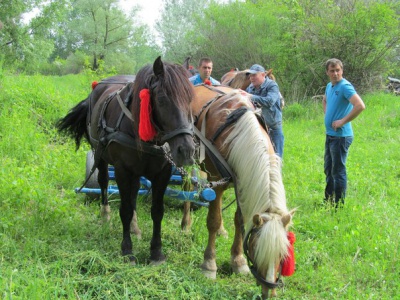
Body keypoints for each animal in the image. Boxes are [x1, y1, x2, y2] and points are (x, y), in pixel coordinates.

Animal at [57, 56, 196, 264]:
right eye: (162, 99)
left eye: (191, 99)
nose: (186, 150)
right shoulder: (122, 170)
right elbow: (125, 209)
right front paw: (127, 251)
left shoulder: (162, 173)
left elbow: (157, 211)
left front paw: (156, 252)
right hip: (99, 154)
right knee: (104, 182)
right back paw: (105, 216)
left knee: (134, 191)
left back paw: (134, 227)